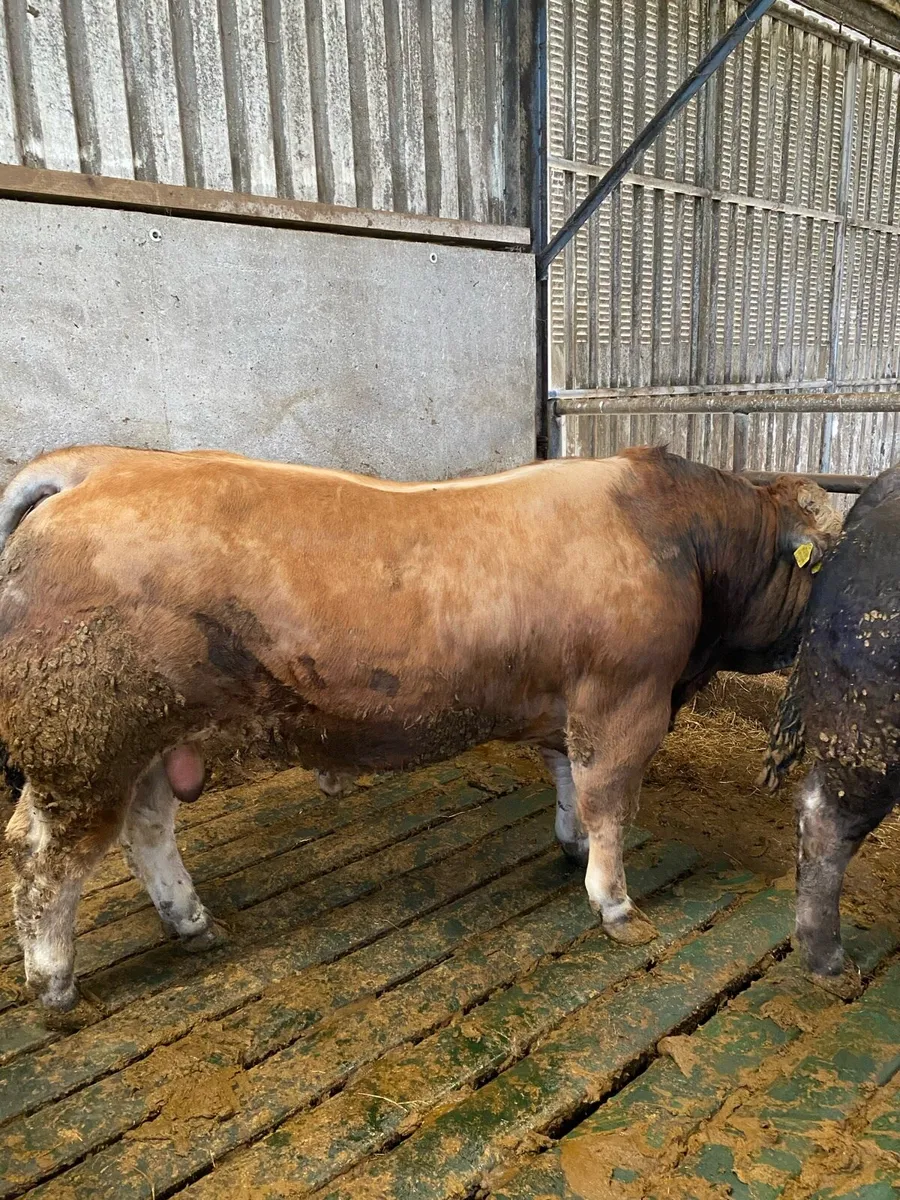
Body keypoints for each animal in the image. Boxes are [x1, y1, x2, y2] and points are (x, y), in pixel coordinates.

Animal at [0, 444, 839, 1012]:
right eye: (828, 561)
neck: (672, 535)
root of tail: (102, 464)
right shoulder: (624, 698)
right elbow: (608, 802)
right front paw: (616, 906)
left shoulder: (564, 701)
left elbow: (568, 781)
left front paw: (569, 848)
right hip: (83, 741)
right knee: (46, 856)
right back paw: (55, 985)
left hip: (151, 733)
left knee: (144, 831)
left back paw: (191, 922)